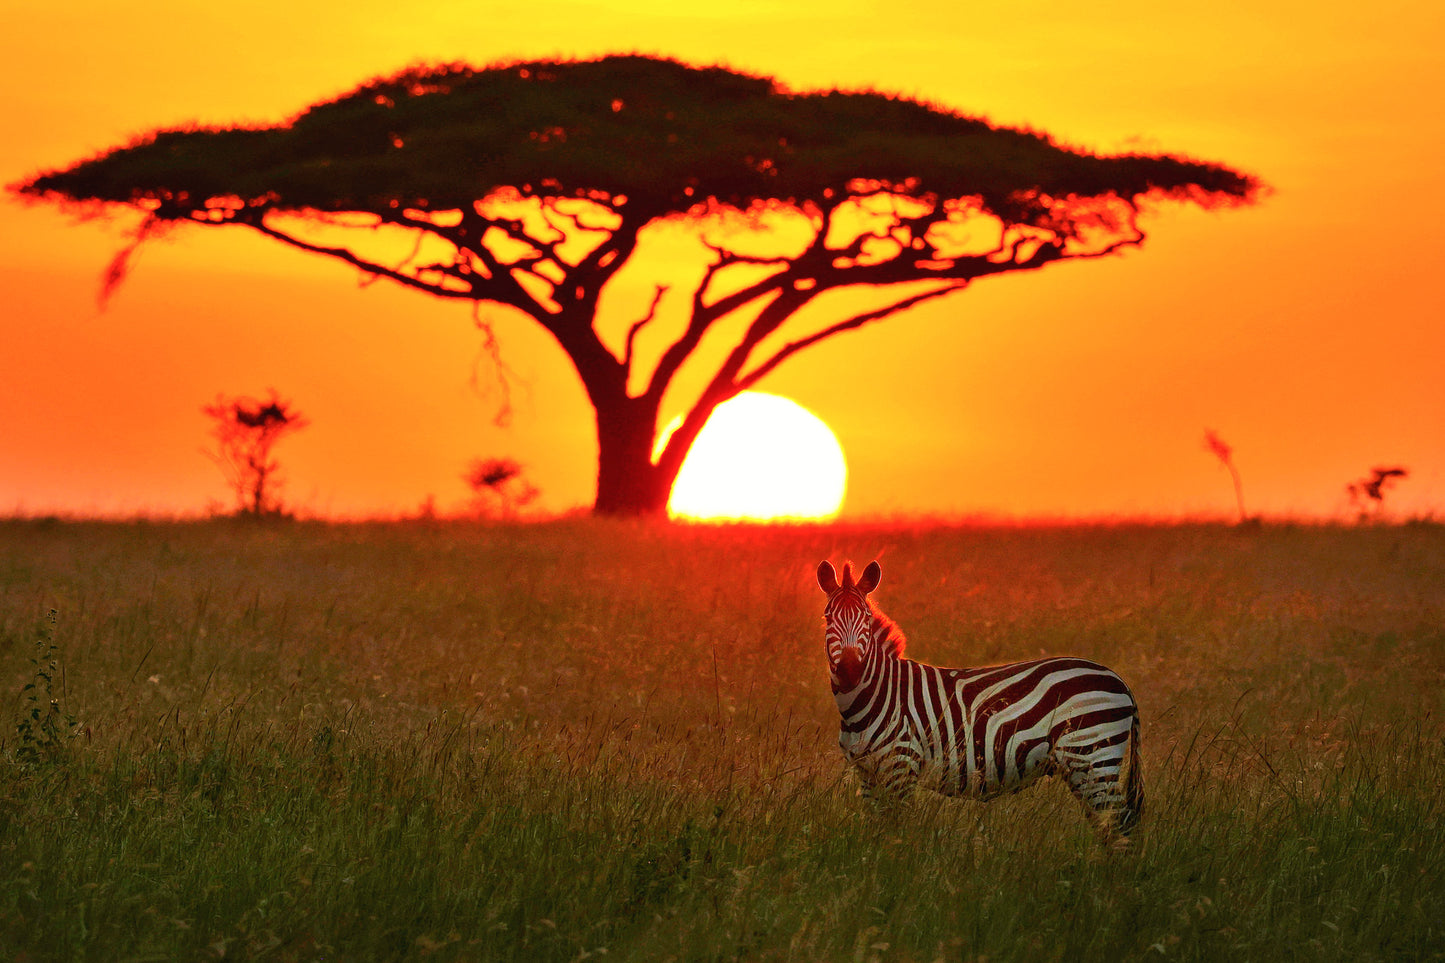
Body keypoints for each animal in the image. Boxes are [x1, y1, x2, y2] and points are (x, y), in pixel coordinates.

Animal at [818, 559, 1144, 847]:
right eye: (827, 618)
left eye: (865, 618)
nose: (850, 670)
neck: (873, 696)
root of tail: (1119, 680)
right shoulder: (866, 773)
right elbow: (878, 831)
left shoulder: (901, 765)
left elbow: (897, 832)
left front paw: (896, 865)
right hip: (1086, 764)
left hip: (1092, 754)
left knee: (1117, 831)